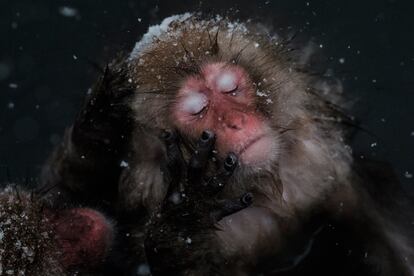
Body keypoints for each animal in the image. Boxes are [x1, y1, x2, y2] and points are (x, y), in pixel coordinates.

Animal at [2, 12, 410, 274]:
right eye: (198, 110)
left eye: (230, 88)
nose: (235, 121)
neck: (265, 193)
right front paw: (185, 217)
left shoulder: (324, 171)